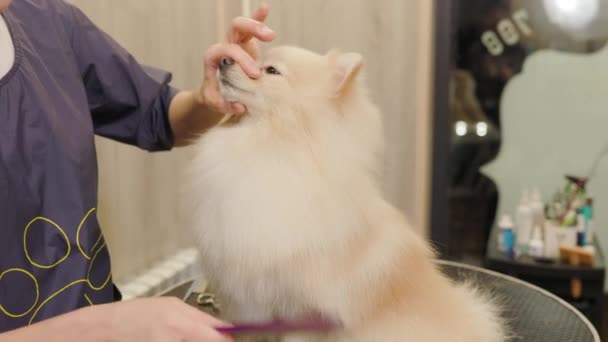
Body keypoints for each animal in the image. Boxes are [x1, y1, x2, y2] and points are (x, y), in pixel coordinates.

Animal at [186, 46, 508, 342]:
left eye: (271, 71)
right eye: (253, 59)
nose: (224, 59)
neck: (273, 145)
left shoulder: (300, 313)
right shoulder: (248, 303)